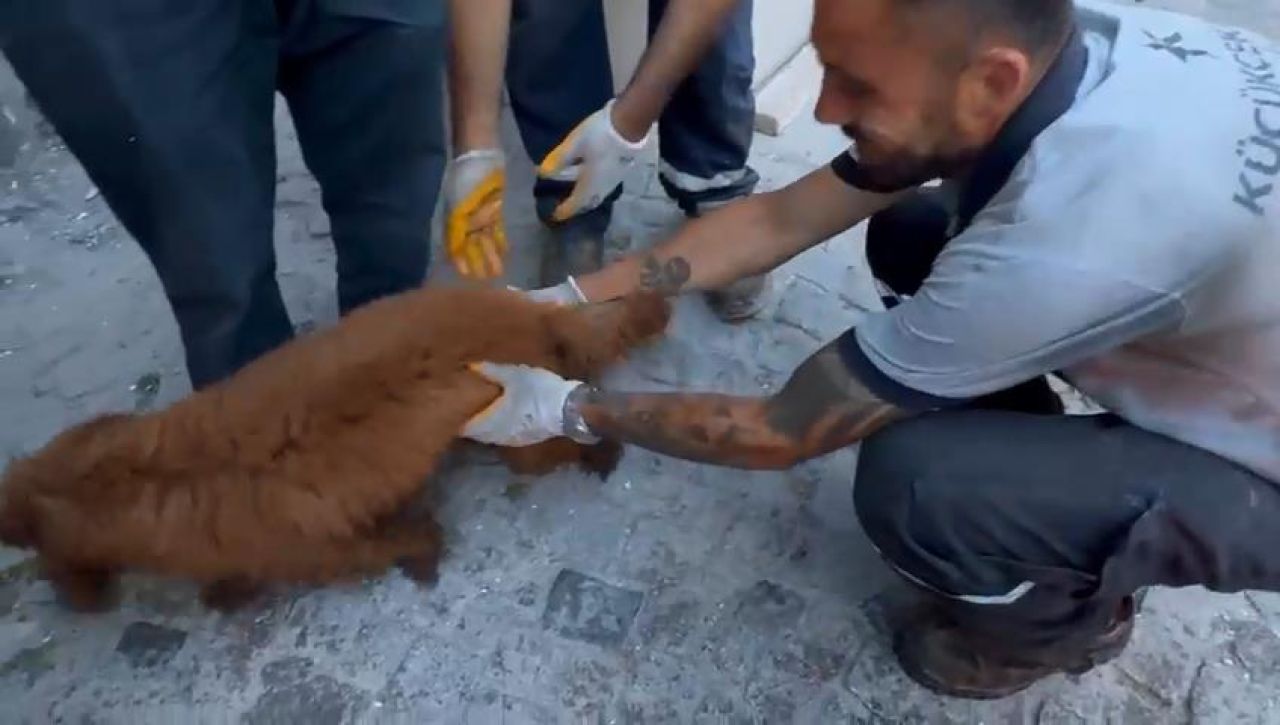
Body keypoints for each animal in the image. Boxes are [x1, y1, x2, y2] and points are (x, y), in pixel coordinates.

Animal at [0, 288, 665, 614]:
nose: (73, 601)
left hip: (518, 438)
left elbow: (385, 543)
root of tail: (530, 311)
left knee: (565, 438)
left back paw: (599, 452)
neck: (137, 476)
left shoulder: (313, 550)